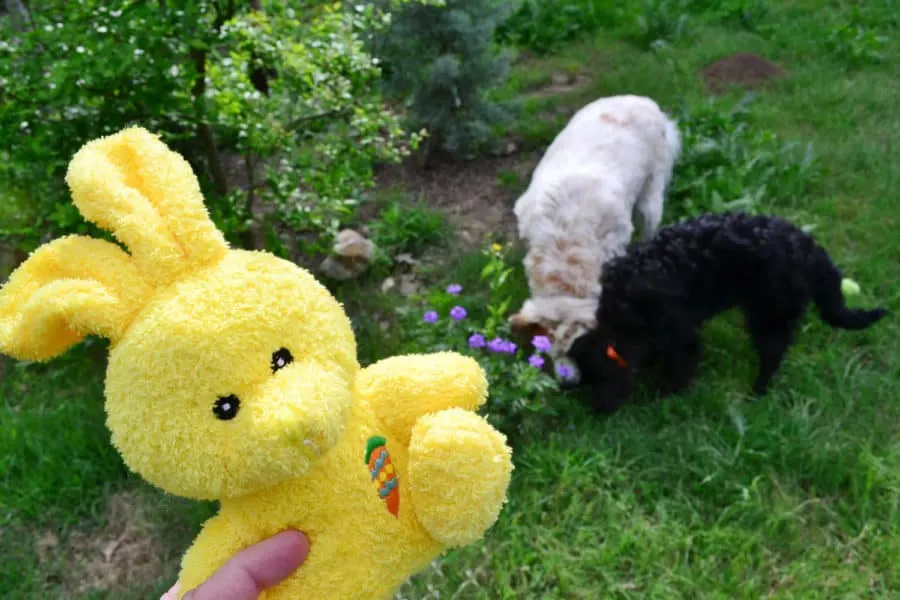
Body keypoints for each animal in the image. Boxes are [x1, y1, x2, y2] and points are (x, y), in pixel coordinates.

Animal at [568, 213, 884, 414]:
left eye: (601, 379)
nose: (597, 411)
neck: (624, 310)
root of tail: (811, 251)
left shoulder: (680, 332)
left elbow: (680, 366)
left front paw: (665, 395)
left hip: (769, 315)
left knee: (772, 357)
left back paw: (756, 393)